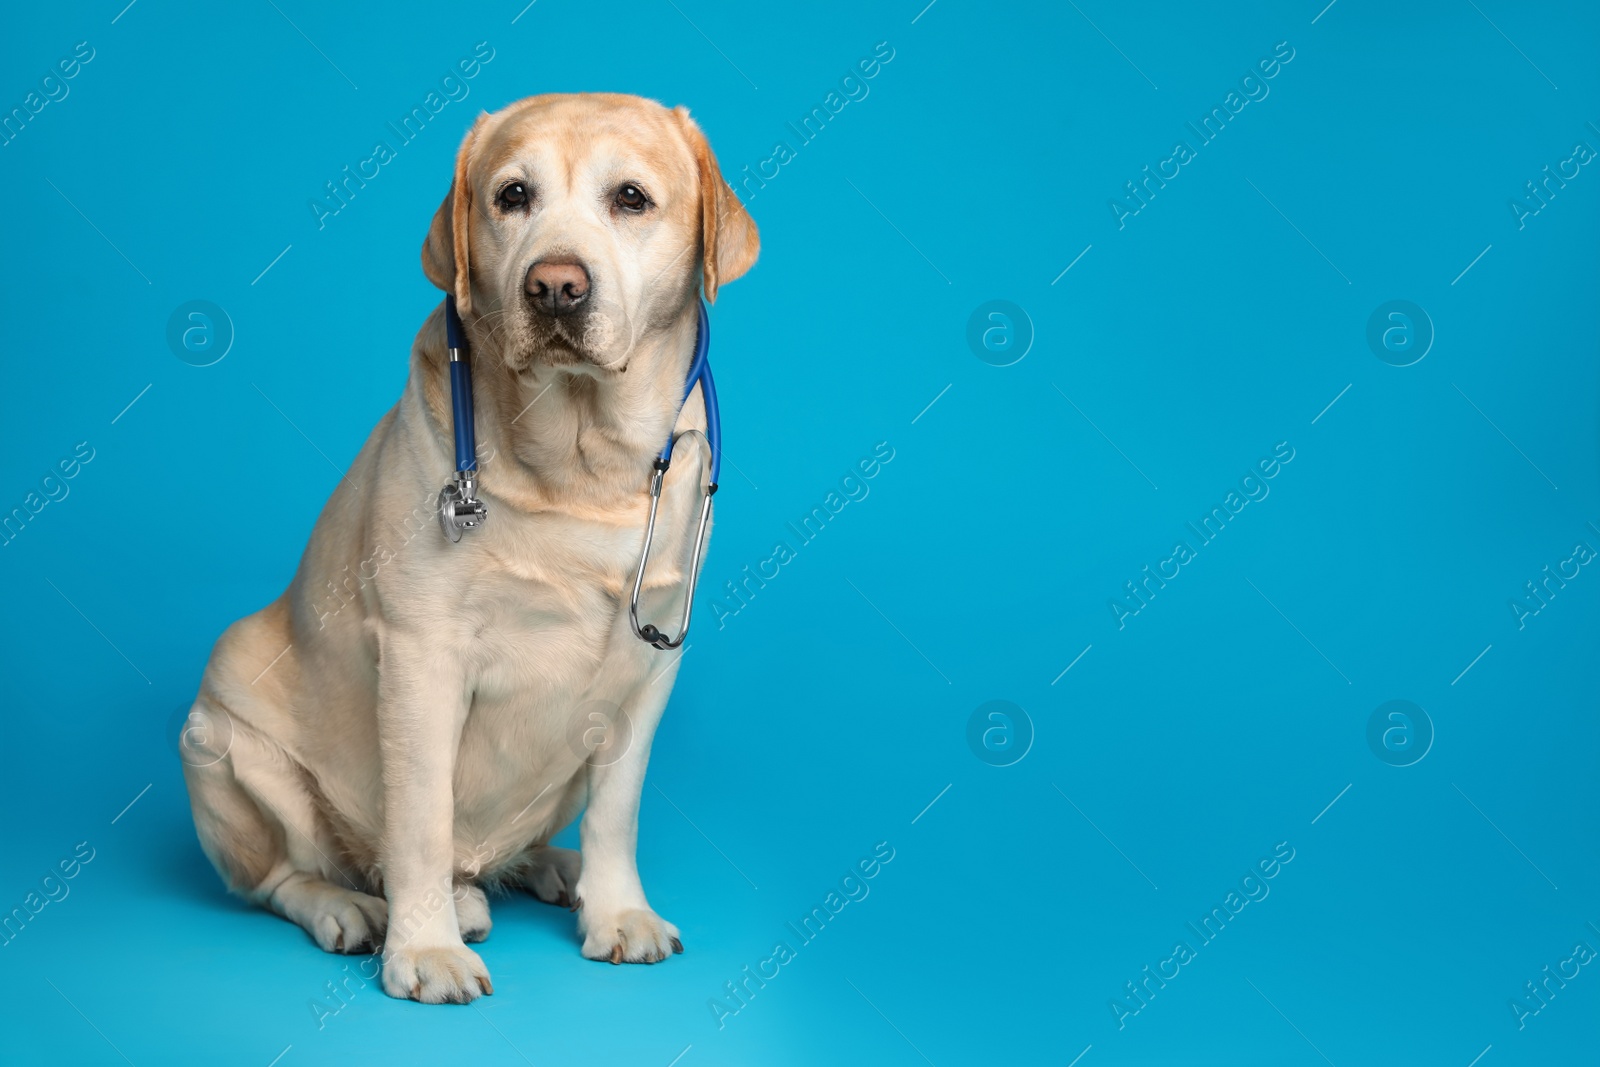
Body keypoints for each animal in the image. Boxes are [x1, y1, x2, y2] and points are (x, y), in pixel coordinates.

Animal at [180, 91, 761, 1004]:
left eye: (631, 198)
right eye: (511, 195)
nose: (556, 286)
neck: (579, 463)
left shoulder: (653, 661)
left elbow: (618, 809)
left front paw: (617, 910)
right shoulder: (424, 657)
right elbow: (420, 818)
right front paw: (426, 947)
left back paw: (547, 869)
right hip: (223, 730)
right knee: (288, 875)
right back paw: (366, 908)